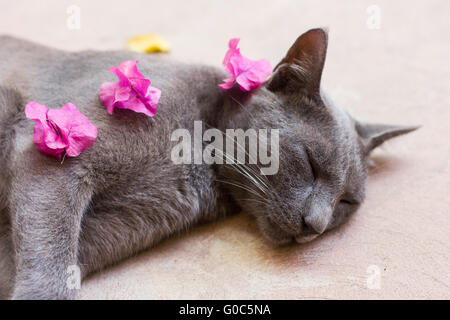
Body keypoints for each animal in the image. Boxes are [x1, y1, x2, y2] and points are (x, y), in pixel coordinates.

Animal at [0, 28, 416, 298]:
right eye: (310, 162)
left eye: (346, 203)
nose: (316, 225)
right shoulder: (57, 159)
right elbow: (51, 266)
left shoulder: (112, 230)